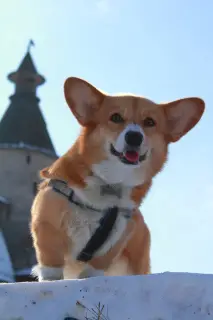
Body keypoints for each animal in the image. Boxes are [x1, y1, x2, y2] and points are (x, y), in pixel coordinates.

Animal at [30, 76, 205, 282]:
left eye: (150, 122)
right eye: (115, 117)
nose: (134, 136)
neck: (110, 182)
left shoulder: (118, 237)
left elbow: (95, 268)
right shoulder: (47, 224)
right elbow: (51, 267)